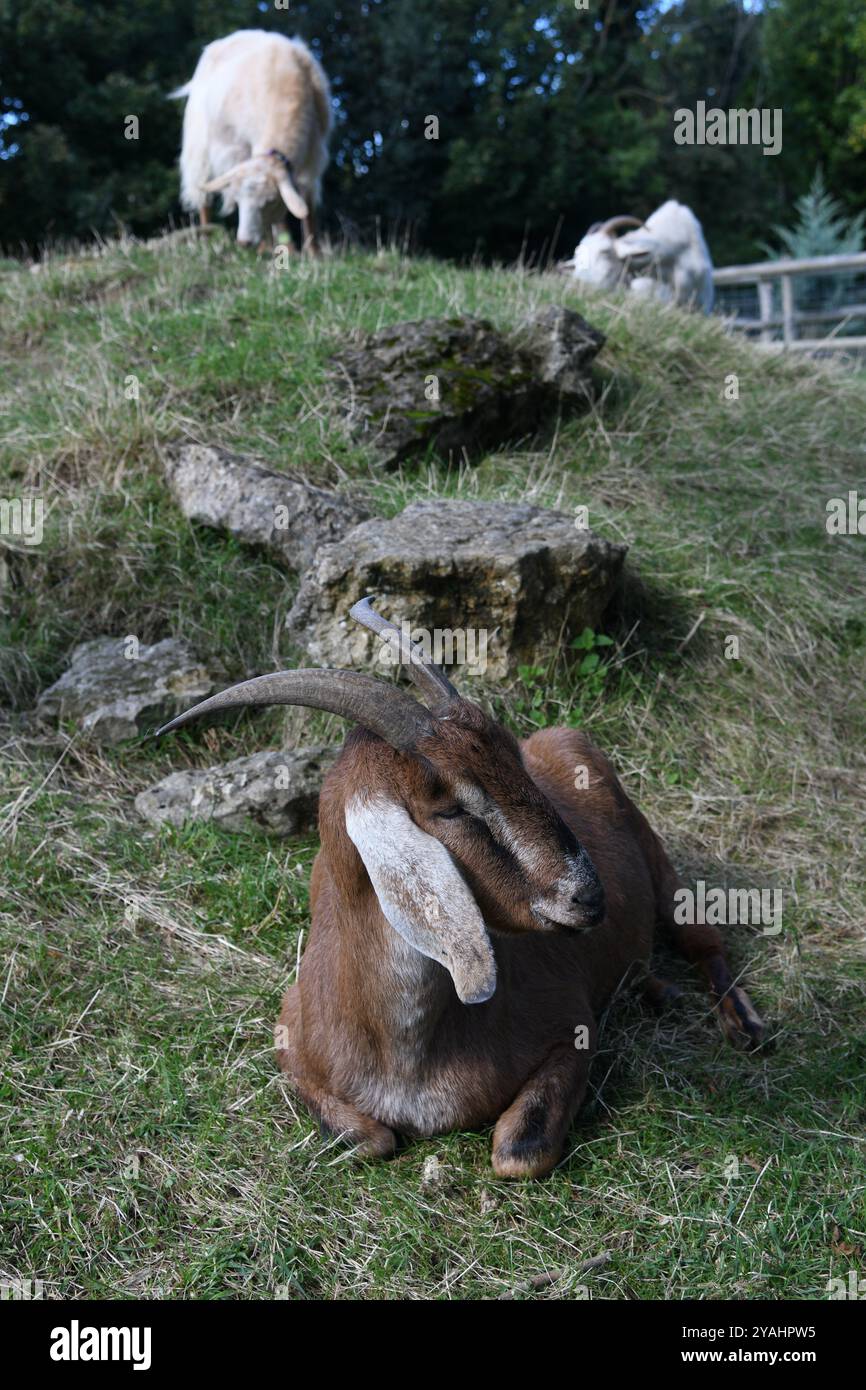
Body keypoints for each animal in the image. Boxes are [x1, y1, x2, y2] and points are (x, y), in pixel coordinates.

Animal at [173, 29, 332, 252]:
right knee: (201, 190)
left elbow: (307, 203)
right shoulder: (241, 145)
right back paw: (206, 236)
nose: (244, 242)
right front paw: (277, 249)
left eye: (270, 201)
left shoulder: (315, 149)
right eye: (238, 200)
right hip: (199, 139)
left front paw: (312, 252)